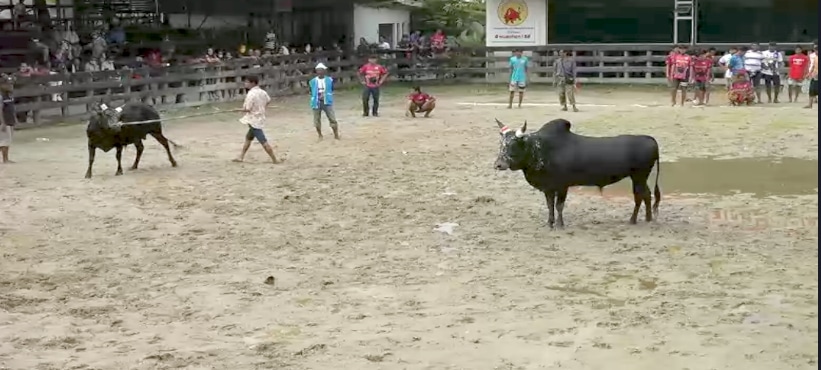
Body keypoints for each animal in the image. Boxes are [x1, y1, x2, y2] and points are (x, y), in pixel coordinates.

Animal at [494, 118, 660, 228]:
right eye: (501, 144)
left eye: (514, 144)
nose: (498, 164)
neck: (542, 149)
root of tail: (649, 139)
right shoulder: (548, 188)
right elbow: (550, 205)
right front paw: (549, 223)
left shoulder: (562, 186)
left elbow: (559, 205)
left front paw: (560, 224)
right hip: (639, 177)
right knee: (646, 195)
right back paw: (648, 218)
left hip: (639, 176)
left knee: (640, 196)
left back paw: (634, 220)